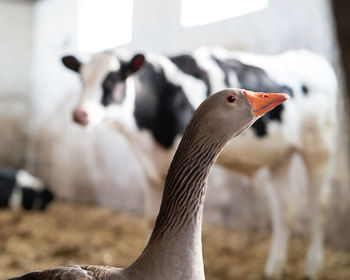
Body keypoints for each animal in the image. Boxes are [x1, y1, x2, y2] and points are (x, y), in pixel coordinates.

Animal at [62, 47, 336, 278]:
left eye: (112, 79)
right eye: (82, 79)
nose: (79, 114)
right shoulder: (149, 169)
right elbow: (150, 218)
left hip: (317, 149)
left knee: (318, 206)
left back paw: (313, 267)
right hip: (280, 157)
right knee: (284, 210)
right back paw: (274, 268)